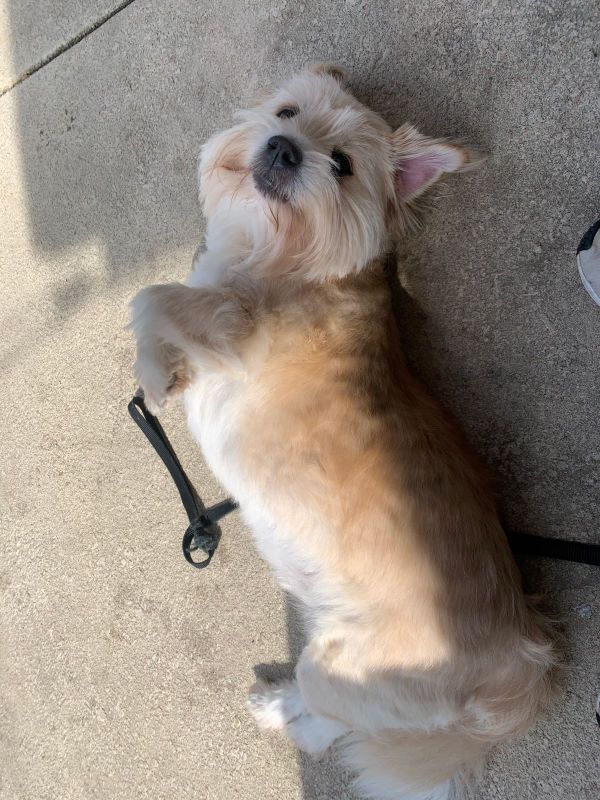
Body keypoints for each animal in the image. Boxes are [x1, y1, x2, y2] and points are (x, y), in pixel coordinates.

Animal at [131, 64, 556, 800]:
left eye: (343, 165)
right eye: (287, 112)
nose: (282, 148)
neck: (283, 256)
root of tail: (519, 657)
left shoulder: (234, 332)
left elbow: (152, 297)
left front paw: (153, 372)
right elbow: (167, 306)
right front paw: (165, 369)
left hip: (344, 669)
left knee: (323, 715)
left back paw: (280, 706)